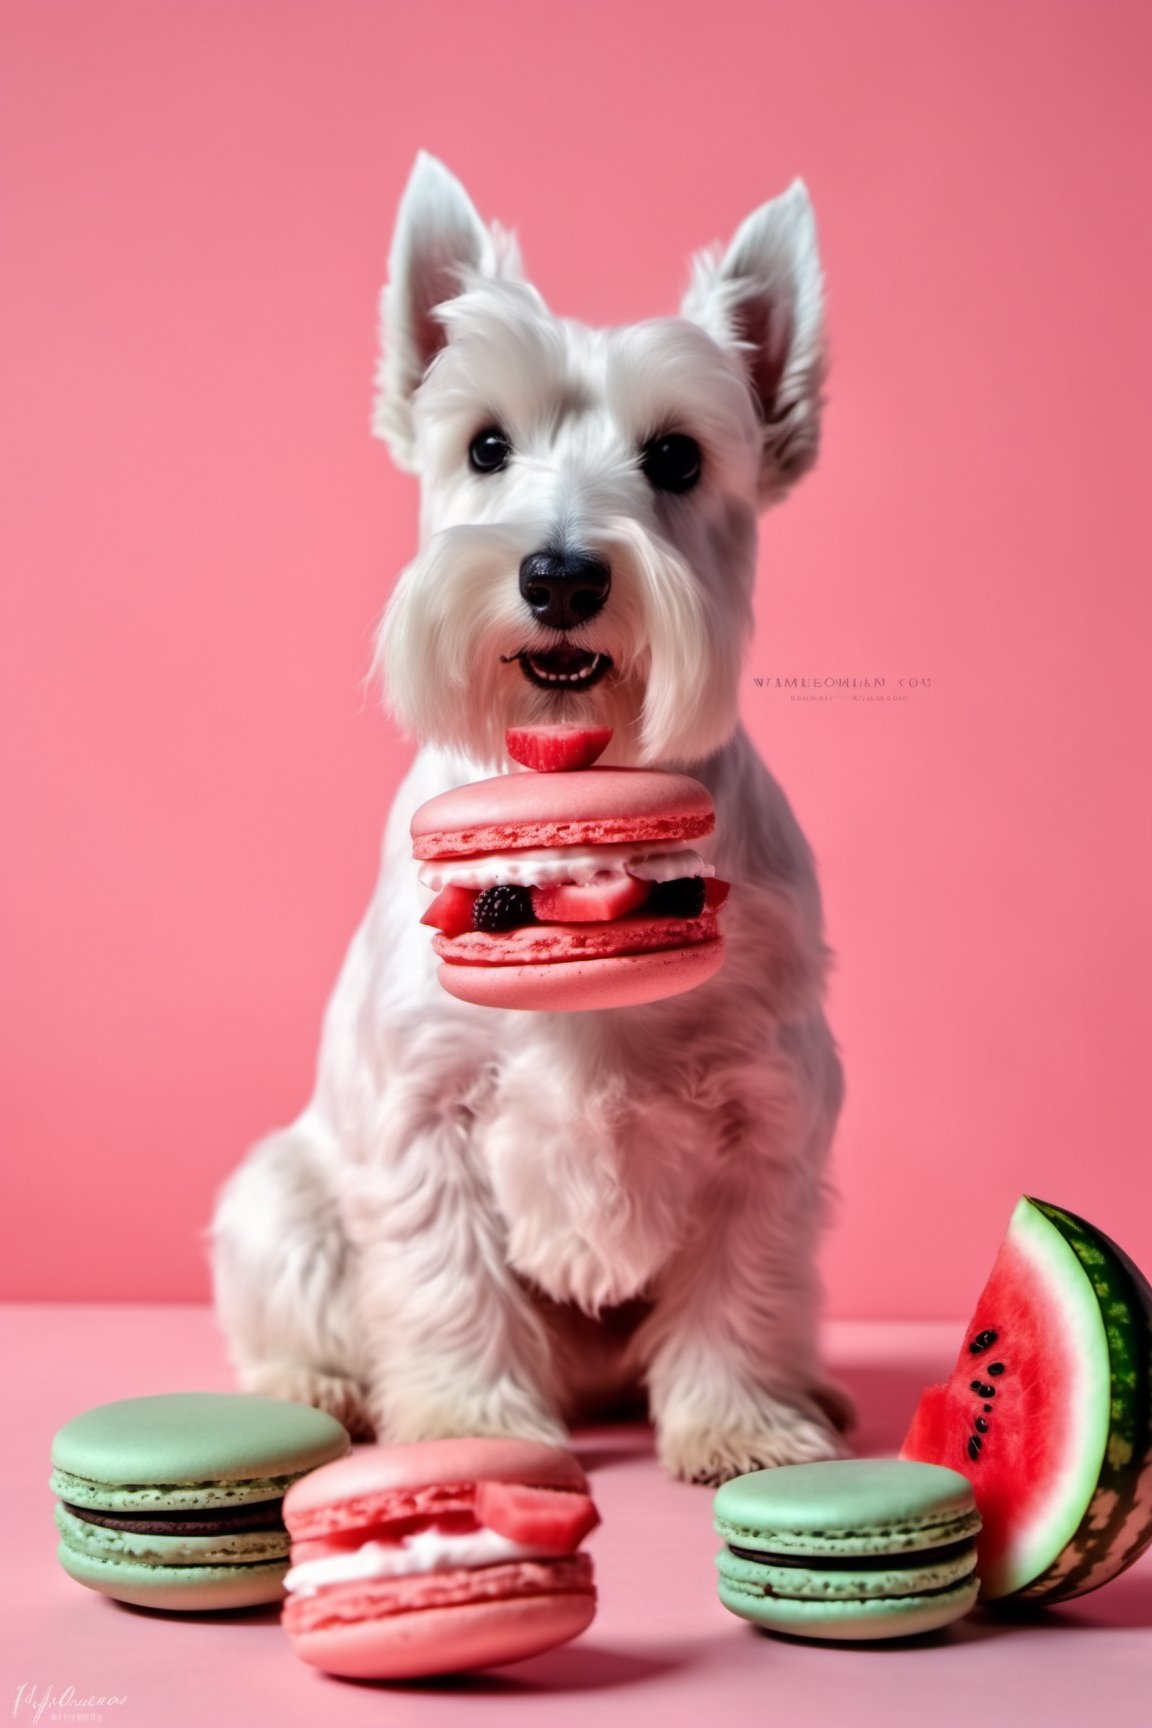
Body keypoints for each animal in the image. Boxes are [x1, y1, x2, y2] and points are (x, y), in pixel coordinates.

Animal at [211, 152, 853, 1486]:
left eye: (677, 458)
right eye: (487, 444)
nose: (560, 576)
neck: (569, 792)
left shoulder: (771, 1112)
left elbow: (745, 1283)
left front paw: (744, 1423)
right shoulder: (425, 1112)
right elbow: (447, 1280)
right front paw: (467, 1428)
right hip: (281, 1199)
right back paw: (319, 1385)